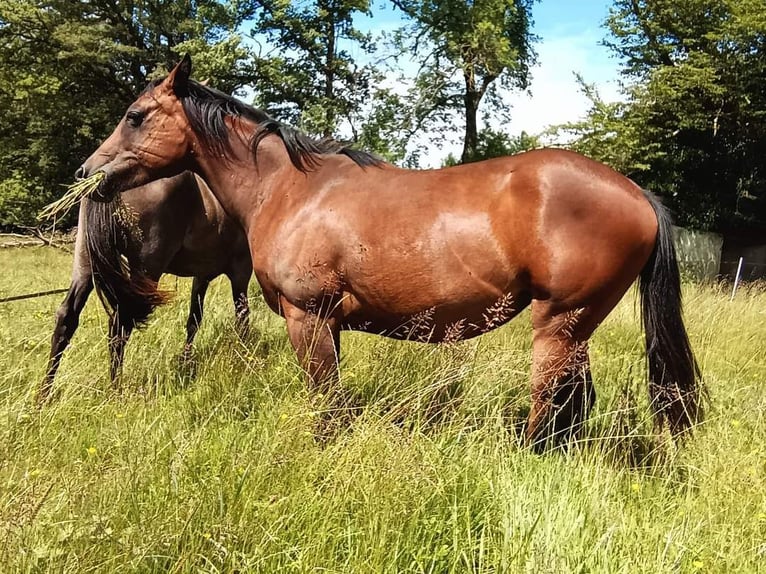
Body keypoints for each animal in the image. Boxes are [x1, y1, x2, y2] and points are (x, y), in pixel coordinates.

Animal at [39, 173, 252, 402]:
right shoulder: (241, 270)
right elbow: (242, 319)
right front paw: (245, 359)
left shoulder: (201, 276)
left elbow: (194, 320)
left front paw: (185, 362)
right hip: (144, 270)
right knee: (120, 326)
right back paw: (116, 390)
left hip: (85, 264)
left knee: (67, 319)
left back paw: (44, 395)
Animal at [72, 56, 704, 448]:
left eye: (136, 115)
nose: (85, 174)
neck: (293, 189)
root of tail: (636, 194)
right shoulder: (329, 325)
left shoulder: (309, 318)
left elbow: (326, 405)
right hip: (574, 327)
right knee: (575, 405)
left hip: (560, 324)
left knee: (552, 403)